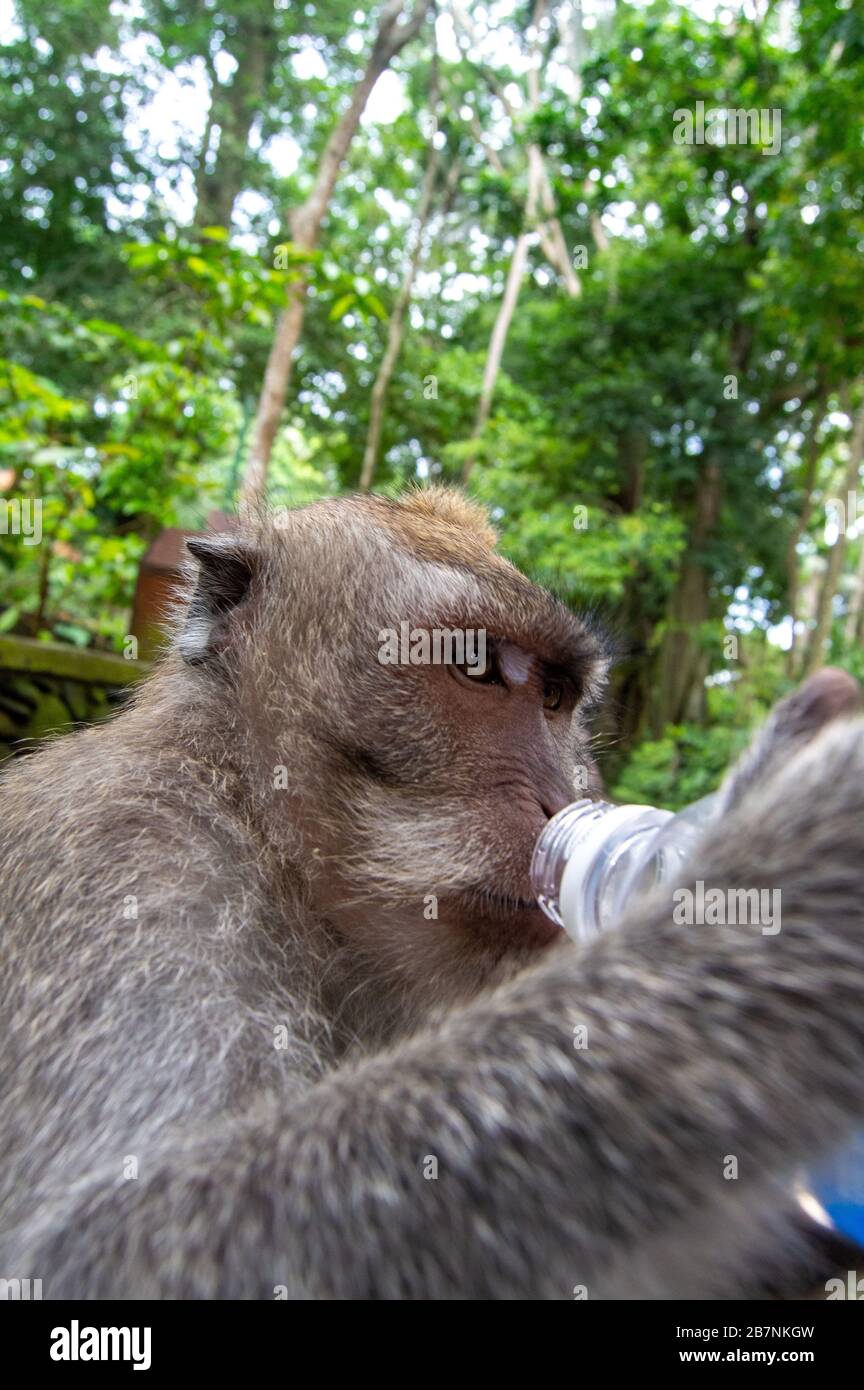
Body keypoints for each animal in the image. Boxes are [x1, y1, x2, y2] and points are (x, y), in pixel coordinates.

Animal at [1, 485, 863, 1299]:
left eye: (555, 697)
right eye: (475, 667)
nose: (563, 800)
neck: (266, 831)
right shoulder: (129, 861)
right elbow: (104, 1241)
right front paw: (786, 873)